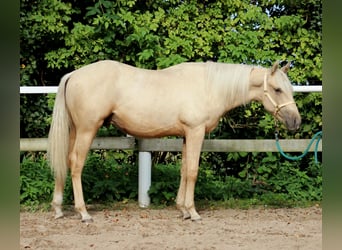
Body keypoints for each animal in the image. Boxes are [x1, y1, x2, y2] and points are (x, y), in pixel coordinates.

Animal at [47, 59, 300, 222]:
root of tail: (73, 75)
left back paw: (58, 209)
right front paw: (193, 212)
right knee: (76, 164)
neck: (209, 86)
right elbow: (193, 171)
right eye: (277, 89)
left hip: (74, 130)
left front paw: (183, 209)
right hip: (87, 129)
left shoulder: (187, 135)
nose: (295, 122)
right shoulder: (196, 132)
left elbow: (184, 170)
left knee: (65, 162)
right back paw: (83, 213)